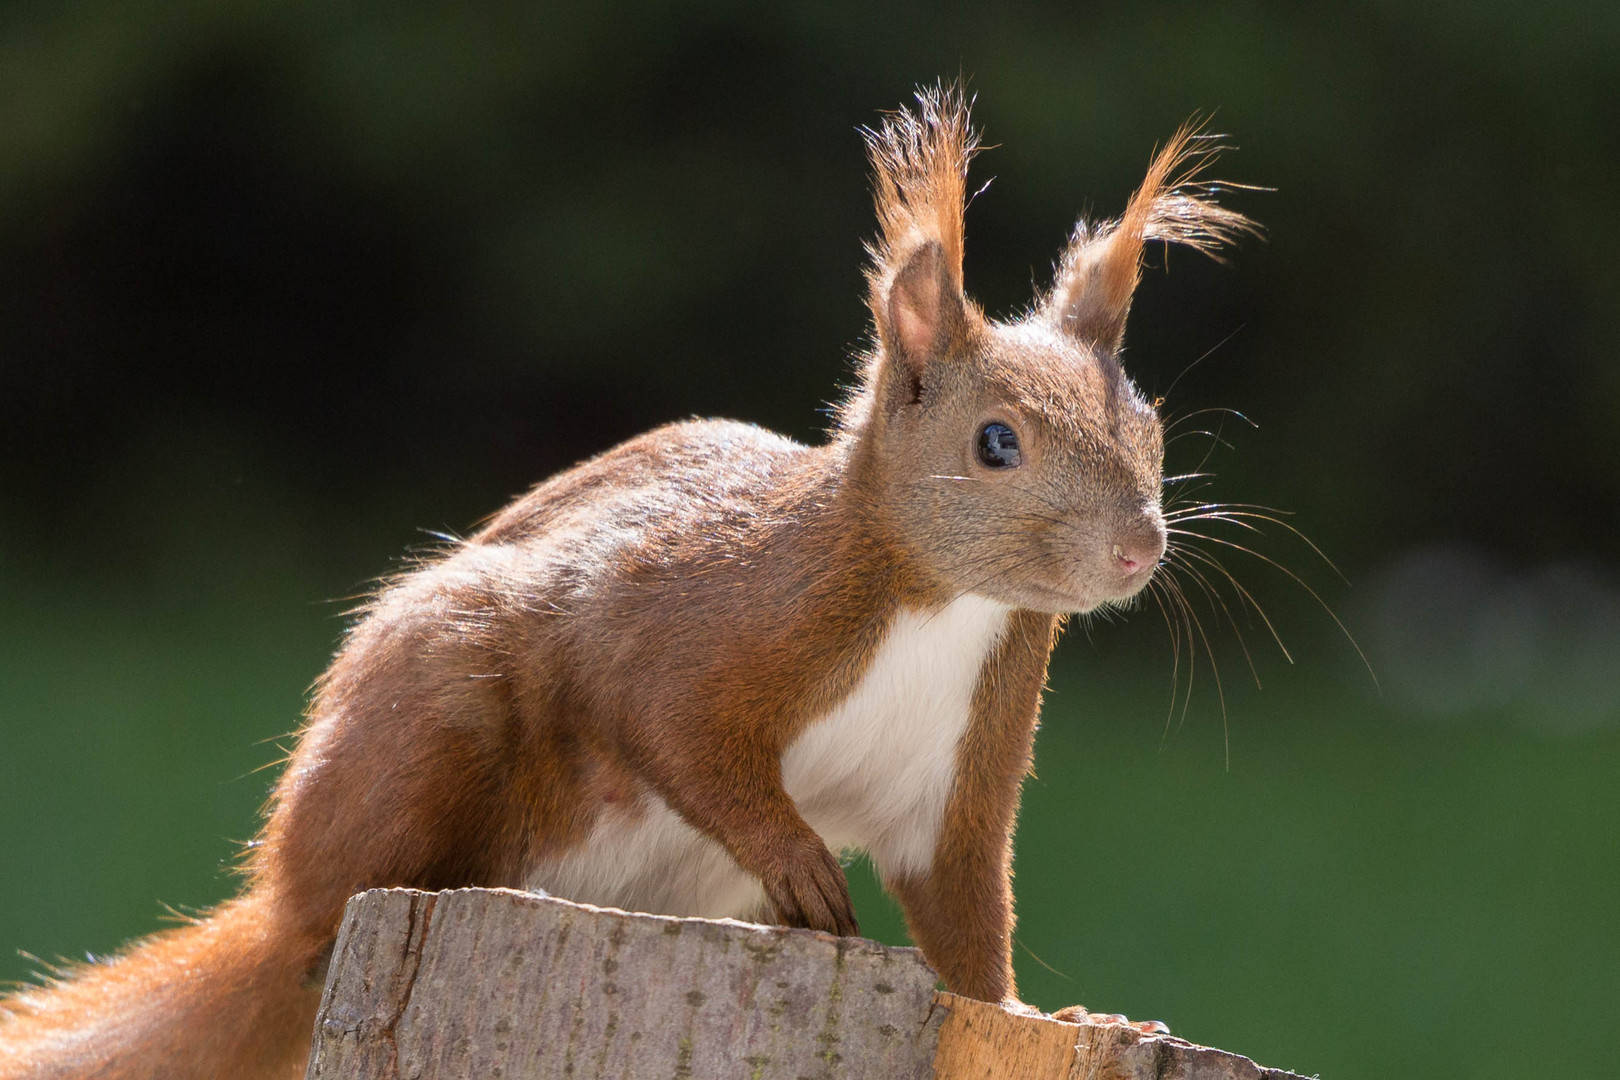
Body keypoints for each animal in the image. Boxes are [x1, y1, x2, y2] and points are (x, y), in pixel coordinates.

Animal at [0, 86, 1250, 1080]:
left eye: (1148, 423)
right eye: (996, 443)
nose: (1138, 550)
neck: (943, 606)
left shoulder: (955, 778)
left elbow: (967, 917)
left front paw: (1054, 1016)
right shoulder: (702, 613)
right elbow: (674, 727)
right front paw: (796, 857)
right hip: (429, 716)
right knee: (331, 916)